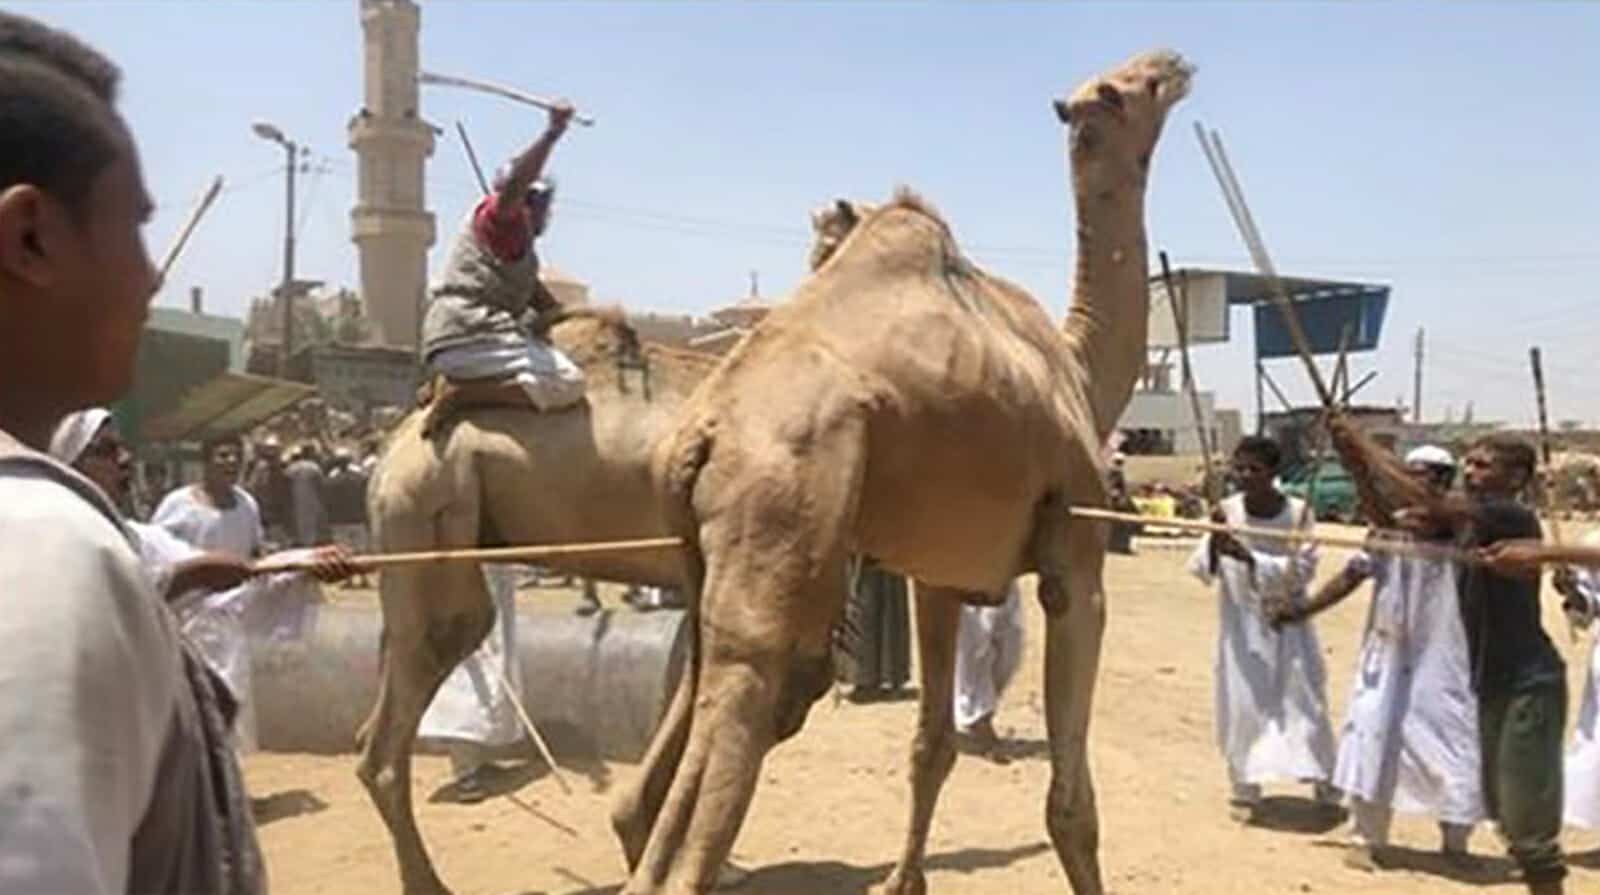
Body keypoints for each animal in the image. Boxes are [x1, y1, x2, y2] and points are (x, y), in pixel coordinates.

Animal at [611, 49, 1193, 895]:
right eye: (1127, 89)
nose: (1174, 63)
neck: (1078, 371)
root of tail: (702, 431)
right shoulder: (1078, 556)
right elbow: (1071, 802)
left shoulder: (938, 575)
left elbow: (931, 746)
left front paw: (902, 878)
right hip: (778, 528)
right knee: (747, 698)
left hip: (704, 549)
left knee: (689, 703)